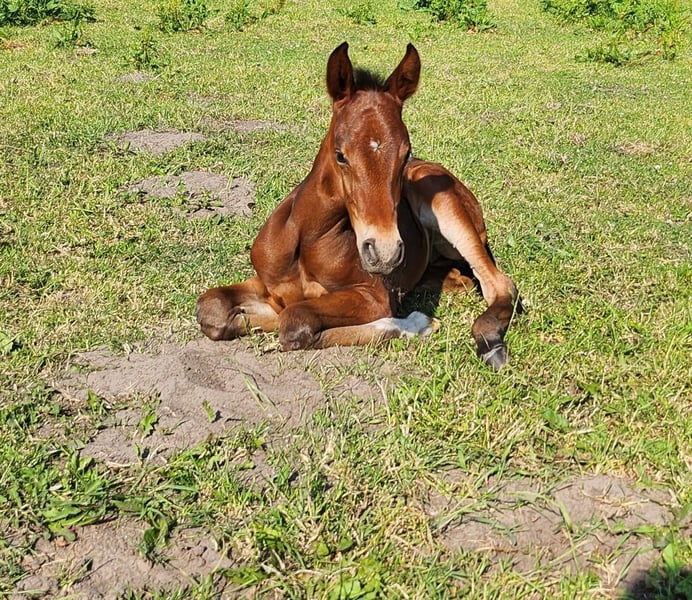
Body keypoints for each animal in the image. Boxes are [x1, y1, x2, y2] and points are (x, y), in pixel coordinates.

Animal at [196, 42, 521, 369]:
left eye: (405, 154)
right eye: (340, 154)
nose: (385, 252)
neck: (306, 241)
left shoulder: (372, 297)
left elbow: (295, 320)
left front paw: (418, 324)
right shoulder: (266, 283)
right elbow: (212, 308)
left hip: (447, 208)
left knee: (498, 283)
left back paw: (490, 342)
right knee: (463, 279)